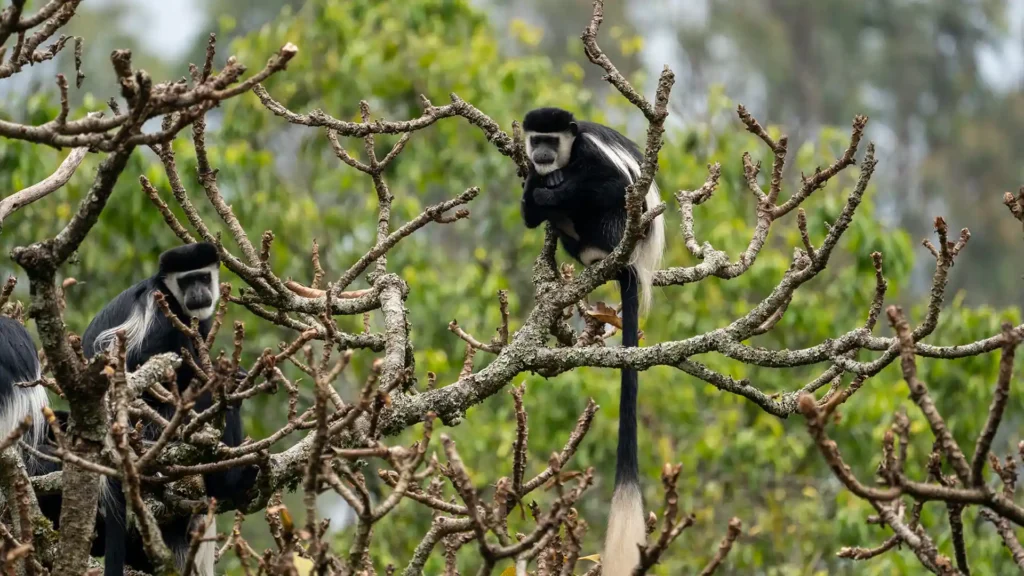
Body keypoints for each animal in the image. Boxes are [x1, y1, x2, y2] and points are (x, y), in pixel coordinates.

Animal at [520, 107, 663, 573]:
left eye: (551, 140)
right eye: (536, 140)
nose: (542, 156)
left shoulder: (587, 152)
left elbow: (612, 186)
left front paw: (548, 190)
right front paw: (536, 191)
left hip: (618, 228)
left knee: (606, 198)